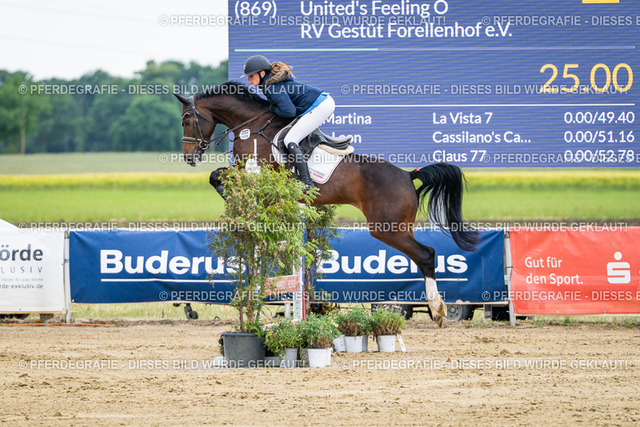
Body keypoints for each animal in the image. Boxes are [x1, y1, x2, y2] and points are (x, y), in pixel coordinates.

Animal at [174, 81, 478, 327]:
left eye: (187, 120)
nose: (189, 157)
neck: (251, 125)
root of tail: (407, 175)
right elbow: (216, 176)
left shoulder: (256, 172)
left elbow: (218, 177)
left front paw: (236, 201)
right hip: (399, 227)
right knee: (423, 254)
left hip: (387, 228)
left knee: (426, 254)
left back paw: (438, 309)